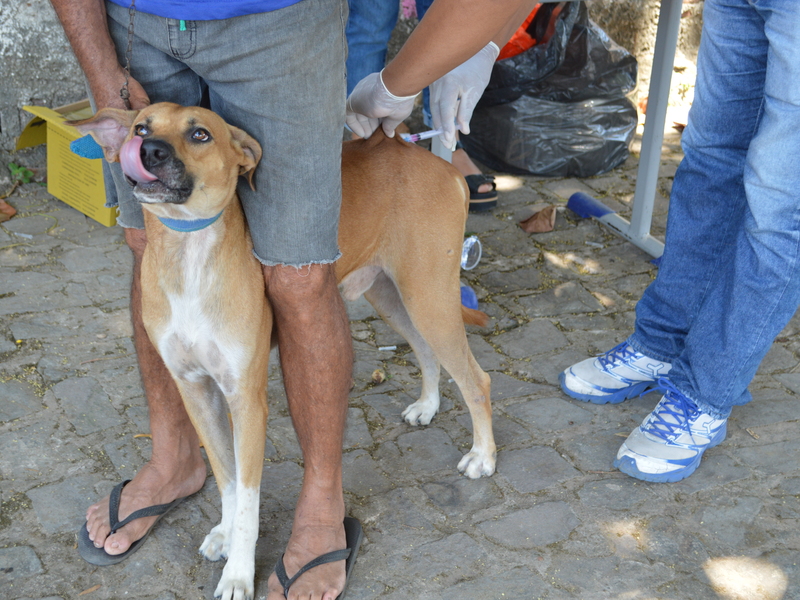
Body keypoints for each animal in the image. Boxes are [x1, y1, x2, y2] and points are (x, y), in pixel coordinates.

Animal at [70, 104, 494, 600]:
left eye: (200, 134)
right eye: (141, 126)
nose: (149, 150)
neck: (188, 253)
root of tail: (437, 163)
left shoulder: (246, 401)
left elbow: (248, 499)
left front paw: (238, 572)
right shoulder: (196, 391)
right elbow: (226, 478)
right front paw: (223, 533)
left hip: (429, 297)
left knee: (476, 378)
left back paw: (483, 457)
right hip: (391, 296)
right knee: (426, 351)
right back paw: (427, 405)